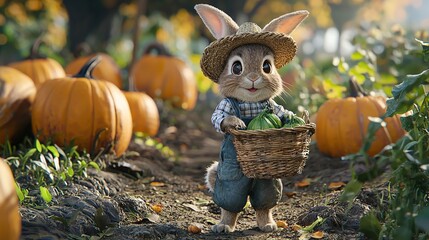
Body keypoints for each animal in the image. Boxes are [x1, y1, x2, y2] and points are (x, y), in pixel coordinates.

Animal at [194, 3, 308, 232]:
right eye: (236, 66)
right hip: (227, 178)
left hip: (267, 183)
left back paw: (268, 225)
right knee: (230, 203)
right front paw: (235, 122)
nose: (254, 78)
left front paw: (294, 117)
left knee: (264, 202)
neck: (251, 103)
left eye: (267, 67)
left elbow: (281, 111)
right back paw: (223, 227)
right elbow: (218, 117)